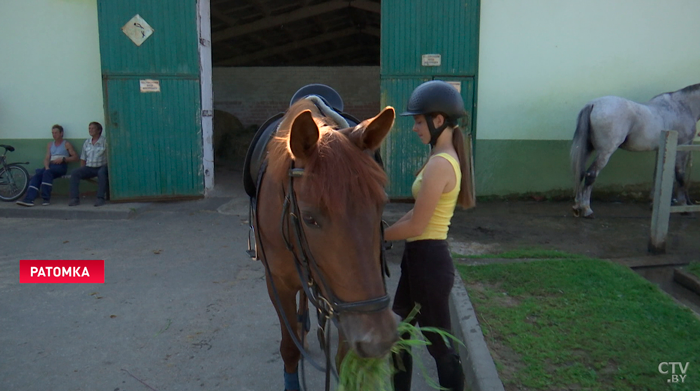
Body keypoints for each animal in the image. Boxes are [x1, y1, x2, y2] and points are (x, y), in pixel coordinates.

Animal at [254, 96, 400, 390]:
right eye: (309, 218)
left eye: (381, 205)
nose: (378, 338)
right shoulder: (277, 283)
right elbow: (289, 348)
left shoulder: (344, 305)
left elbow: (344, 359)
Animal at [572, 83, 700, 217]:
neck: (682, 106)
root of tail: (593, 104)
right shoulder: (682, 147)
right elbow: (680, 175)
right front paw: (684, 206)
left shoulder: (661, 149)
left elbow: (657, 174)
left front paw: (653, 202)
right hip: (605, 152)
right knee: (591, 174)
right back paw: (586, 209)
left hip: (587, 149)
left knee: (580, 172)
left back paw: (577, 206)